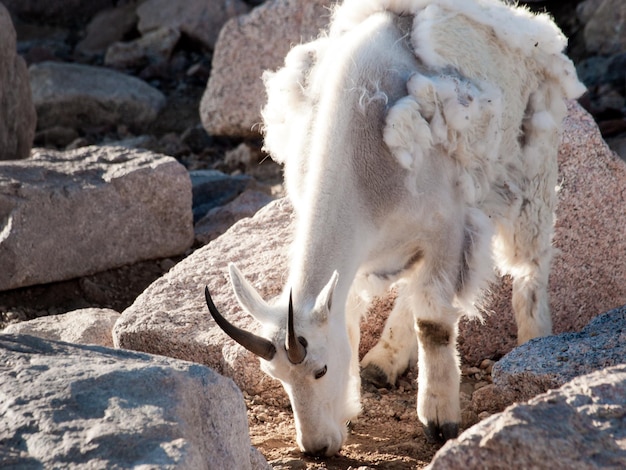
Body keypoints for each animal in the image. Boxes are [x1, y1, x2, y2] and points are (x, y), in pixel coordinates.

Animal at [202, 0, 584, 458]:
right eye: (276, 377)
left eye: (320, 370)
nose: (315, 448)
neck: (363, 174)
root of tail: (528, 25)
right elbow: (355, 317)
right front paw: (353, 405)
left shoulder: (446, 228)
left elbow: (434, 323)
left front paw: (439, 421)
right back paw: (382, 363)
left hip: (532, 163)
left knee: (530, 262)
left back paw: (532, 342)